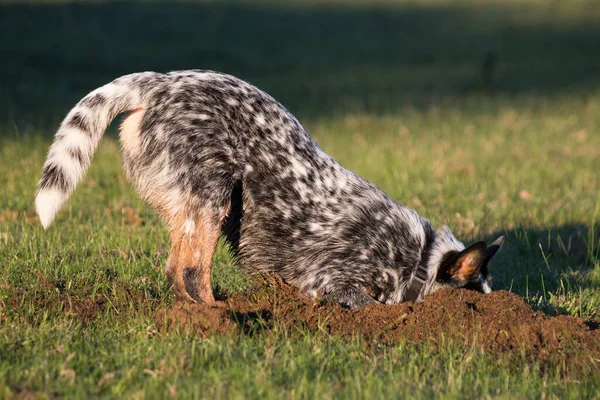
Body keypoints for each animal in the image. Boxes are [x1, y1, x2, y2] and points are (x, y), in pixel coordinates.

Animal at [35, 70, 504, 308]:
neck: (417, 258)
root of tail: (160, 81)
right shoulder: (332, 281)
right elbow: (367, 305)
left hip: (191, 207)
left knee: (175, 272)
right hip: (214, 199)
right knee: (192, 272)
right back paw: (220, 317)